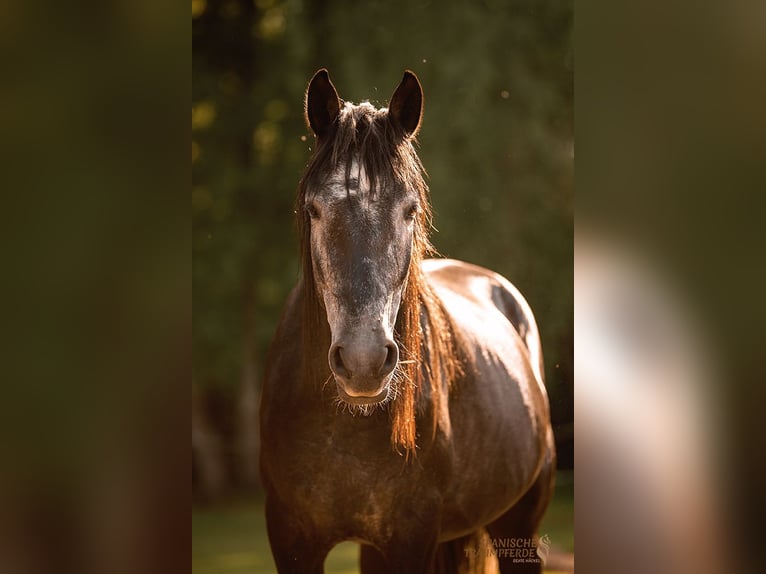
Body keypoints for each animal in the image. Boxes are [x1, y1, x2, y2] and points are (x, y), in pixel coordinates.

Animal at [260, 69, 555, 574]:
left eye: (410, 210)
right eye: (314, 209)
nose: (363, 362)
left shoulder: (412, 536)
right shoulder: (291, 540)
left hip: (517, 527)